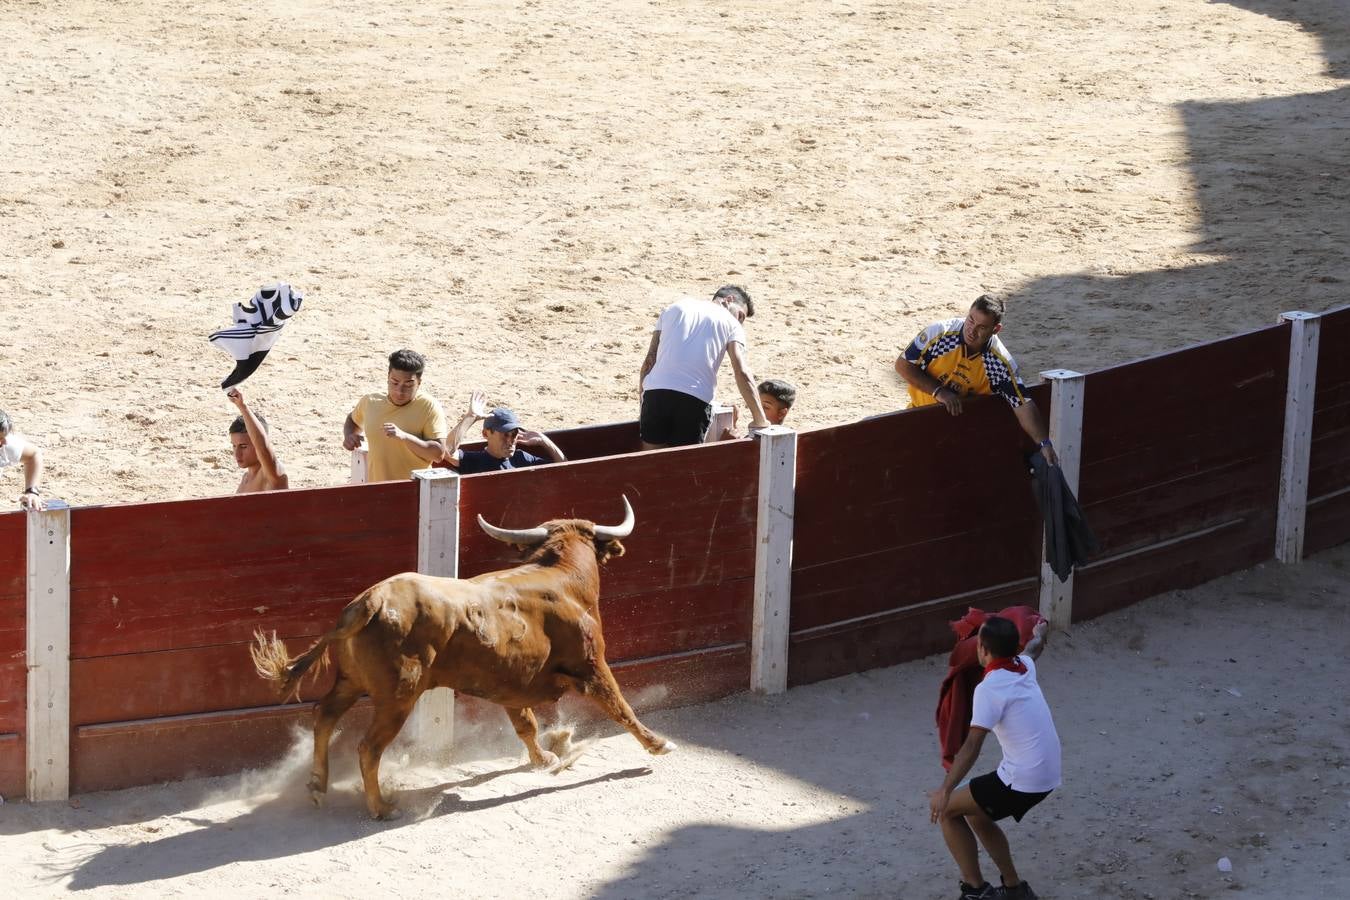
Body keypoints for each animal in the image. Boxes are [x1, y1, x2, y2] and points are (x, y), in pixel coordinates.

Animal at [251, 496, 672, 820]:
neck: (563, 578)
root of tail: (372, 600)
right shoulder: (592, 664)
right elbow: (620, 706)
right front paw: (657, 744)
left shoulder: (511, 684)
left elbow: (526, 724)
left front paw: (545, 760)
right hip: (398, 697)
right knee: (368, 747)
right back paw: (382, 808)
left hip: (351, 681)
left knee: (324, 716)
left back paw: (317, 786)